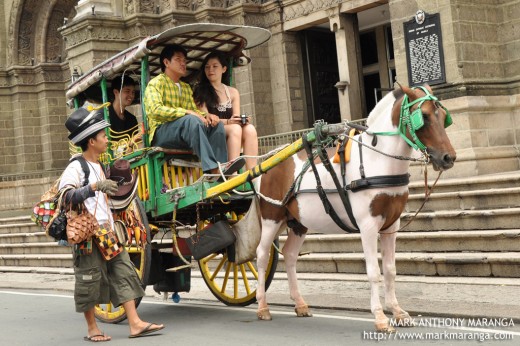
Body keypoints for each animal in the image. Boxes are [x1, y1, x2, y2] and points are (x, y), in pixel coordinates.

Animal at [255, 85, 456, 332]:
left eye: (443, 116)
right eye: (424, 116)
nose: (448, 157)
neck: (376, 160)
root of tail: (269, 161)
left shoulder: (391, 225)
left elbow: (390, 270)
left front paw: (397, 311)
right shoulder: (368, 225)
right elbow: (373, 271)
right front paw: (380, 316)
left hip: (298, 222)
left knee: (291, 255)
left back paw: (300, 303)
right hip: (271, 217)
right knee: (262, 255)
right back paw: (262, 306)